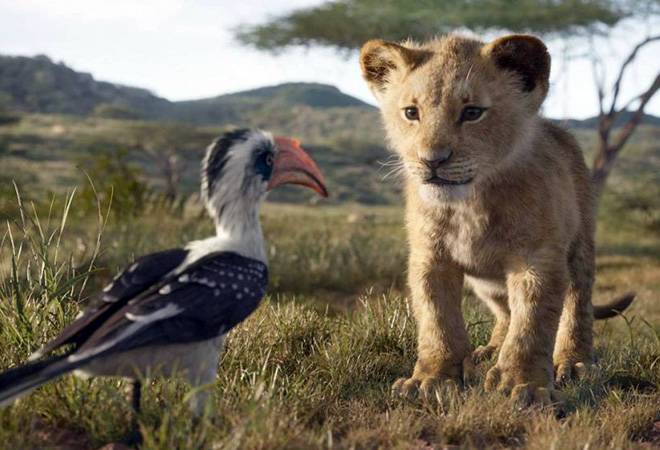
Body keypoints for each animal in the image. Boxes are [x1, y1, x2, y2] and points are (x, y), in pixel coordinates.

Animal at [359, 34, 634, 405]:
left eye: (472, 112)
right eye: (411, 113)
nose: (432, 160)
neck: (470, 204)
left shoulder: (537, 258)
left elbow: (532, 323)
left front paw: (524, 385)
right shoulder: (430, 257)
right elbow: (436, 319)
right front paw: (431, 379)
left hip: (580, 246)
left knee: (577, 303)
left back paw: (573, 362)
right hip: (486, 282)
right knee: (505, 311)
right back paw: (489, 350)